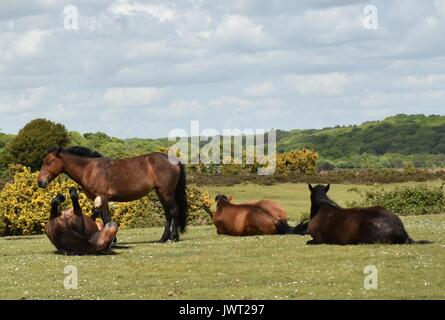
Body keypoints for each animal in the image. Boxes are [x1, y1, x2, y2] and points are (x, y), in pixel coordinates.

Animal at [38, 148, 189, 242]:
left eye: (49, 162)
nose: (40, 182)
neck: (90, 170)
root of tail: (173, 160)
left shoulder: (104, 197)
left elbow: (106, 218)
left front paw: (112, 240)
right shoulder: (98, 199)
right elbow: (99, 217)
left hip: (167, 192)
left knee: (174, 211)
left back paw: (173, 237)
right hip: (160, 193)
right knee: (168, 214)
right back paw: (163, 238)